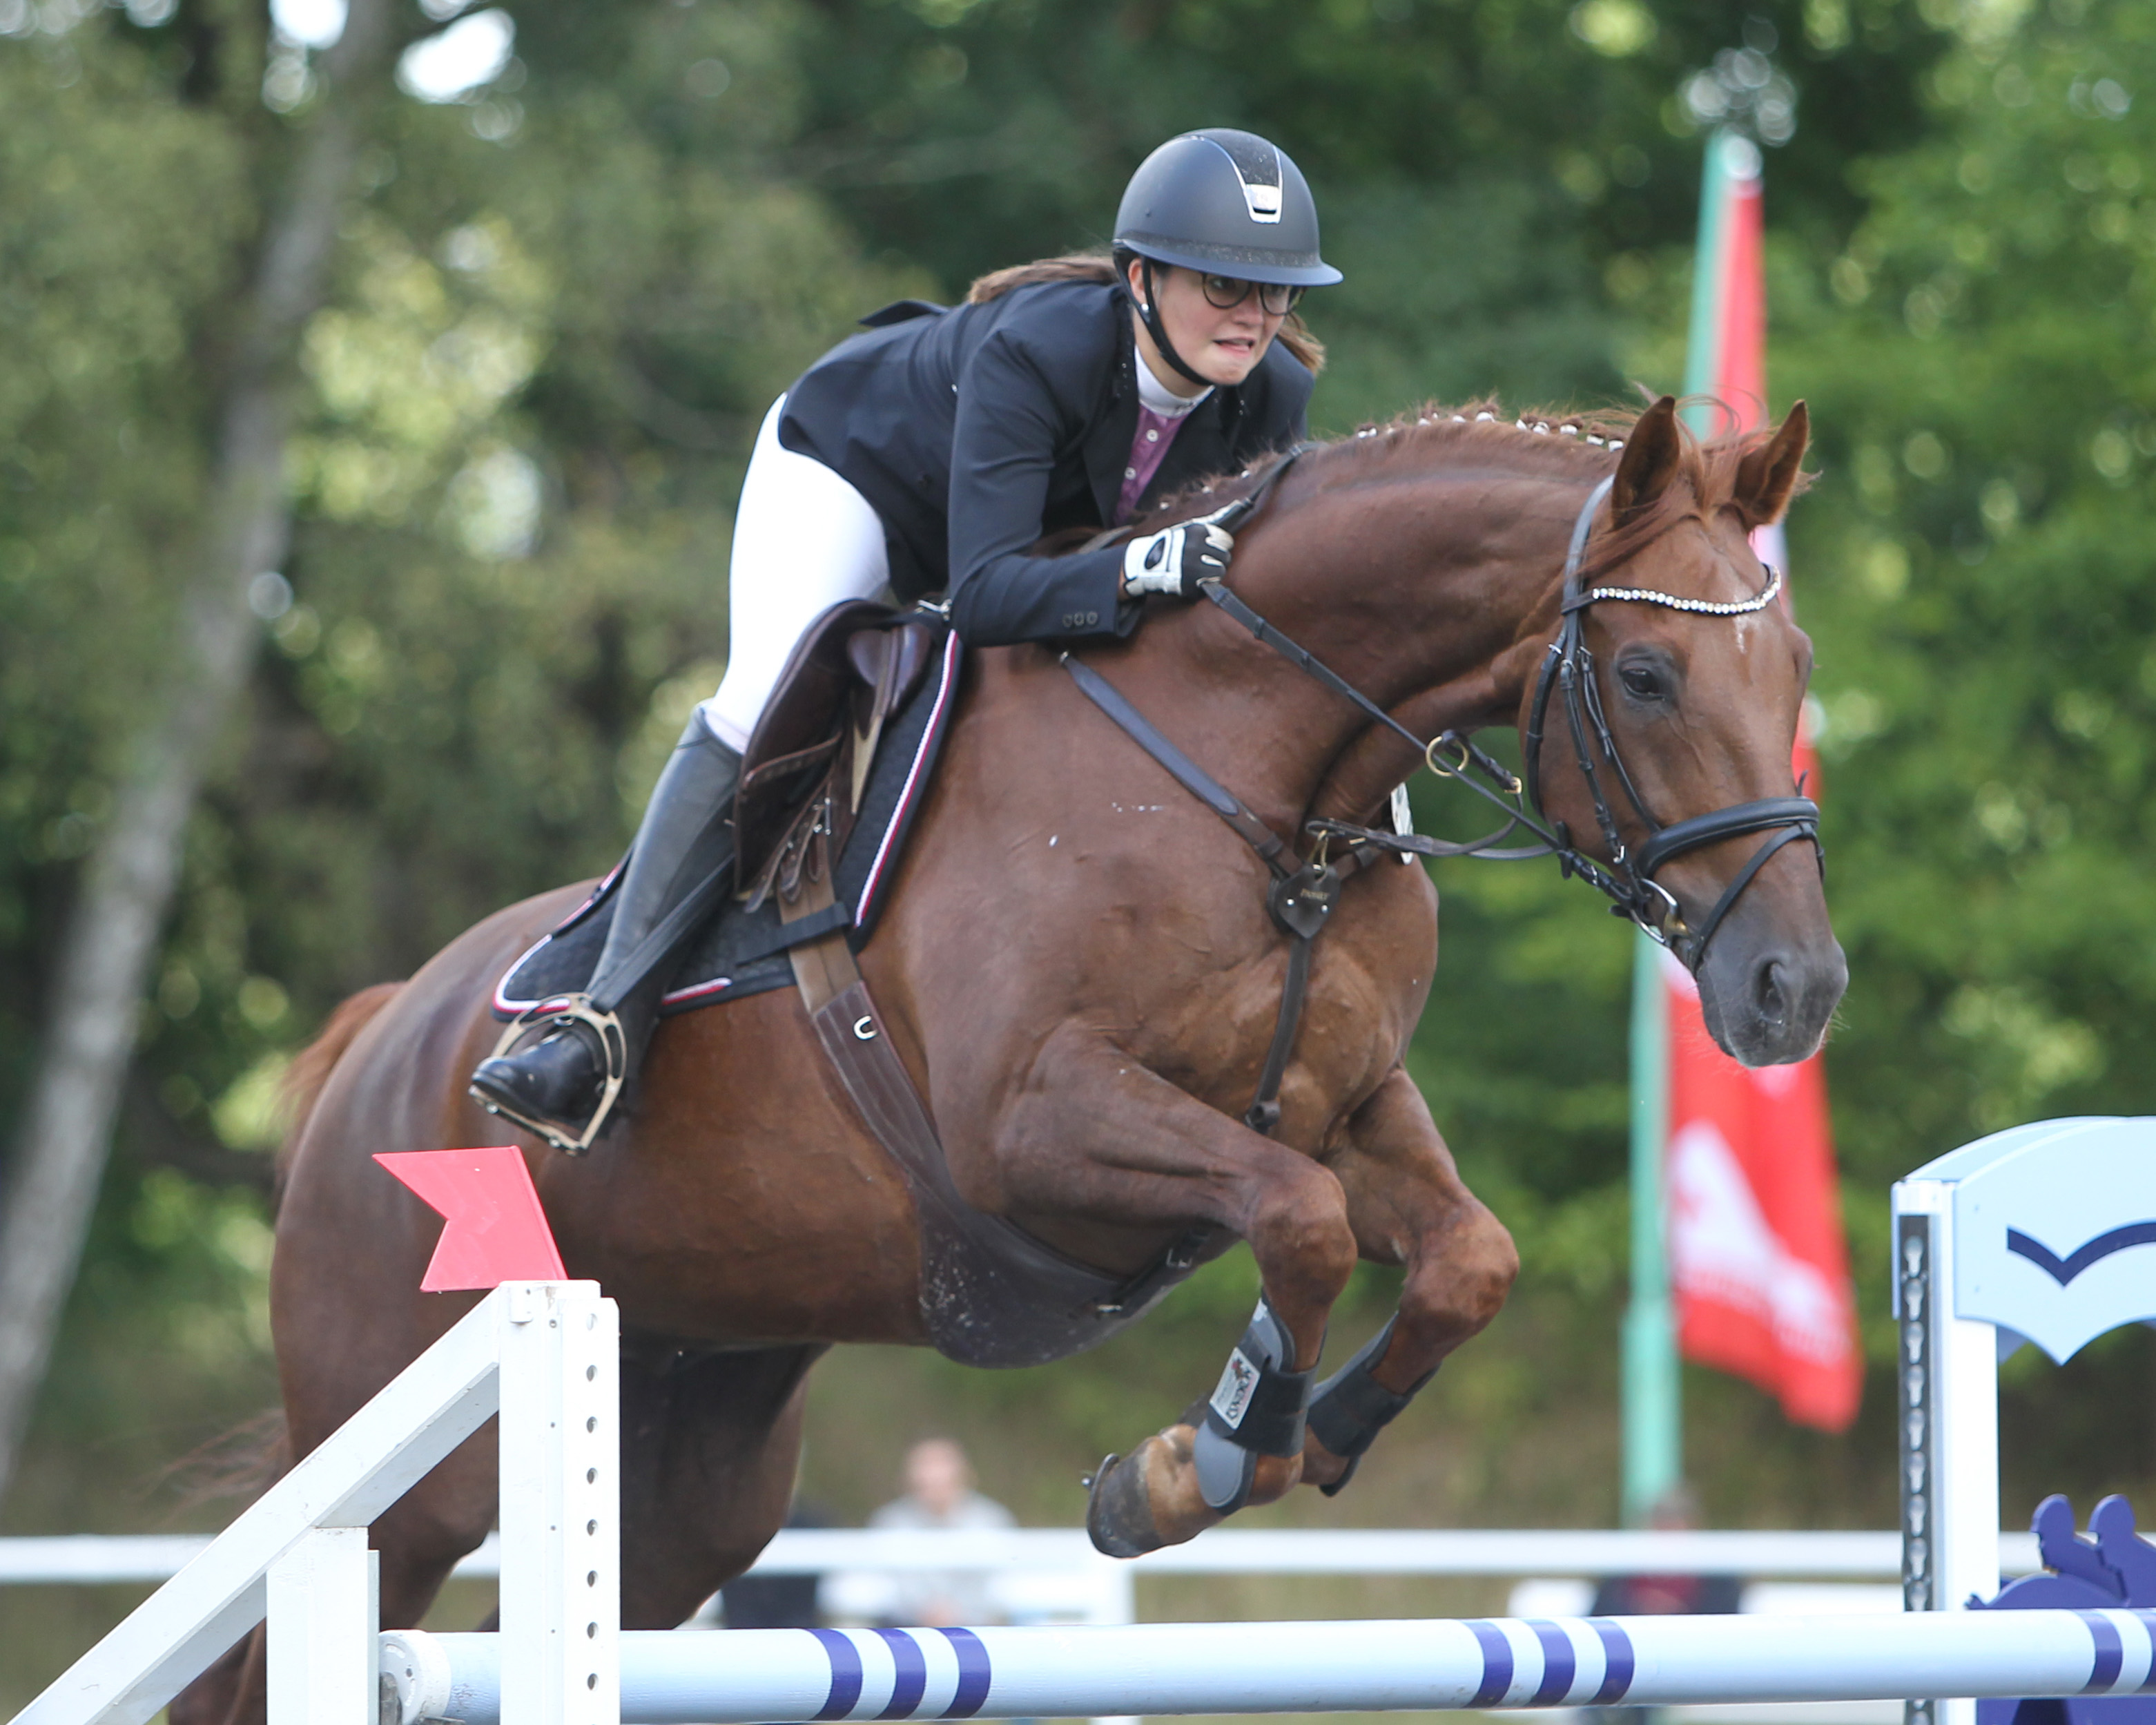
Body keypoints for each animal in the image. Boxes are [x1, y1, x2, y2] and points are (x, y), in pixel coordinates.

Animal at [177, 394, 1845, 1725]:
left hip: (693, 1469)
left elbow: (1460, 1258)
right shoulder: (1035, 1135)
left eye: (1797, 663)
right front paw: (1203, 1461)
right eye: (1645, 677)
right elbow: (1297, 1222)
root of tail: (378, 1042)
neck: (1257, 786)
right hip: (406, 1450)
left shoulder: (1348, 1105)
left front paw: (1291, 1439)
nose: (1795, 989)